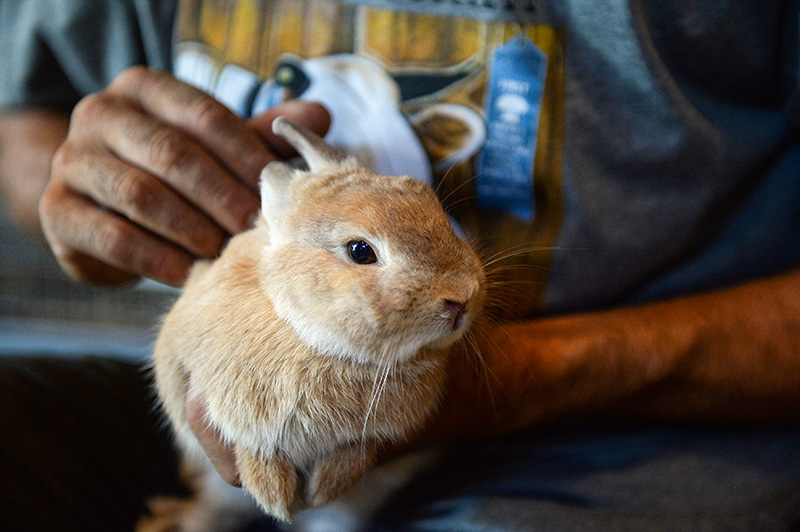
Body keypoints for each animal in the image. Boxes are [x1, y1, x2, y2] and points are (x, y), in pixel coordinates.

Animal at [144, 117, 486, 530]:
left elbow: (355, 451)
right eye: (360, 251)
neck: (311, 338)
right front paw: (273, 496)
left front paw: (324, 487)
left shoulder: (365, 437)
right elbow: (253, 449)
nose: (462, 297)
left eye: (435, 210)